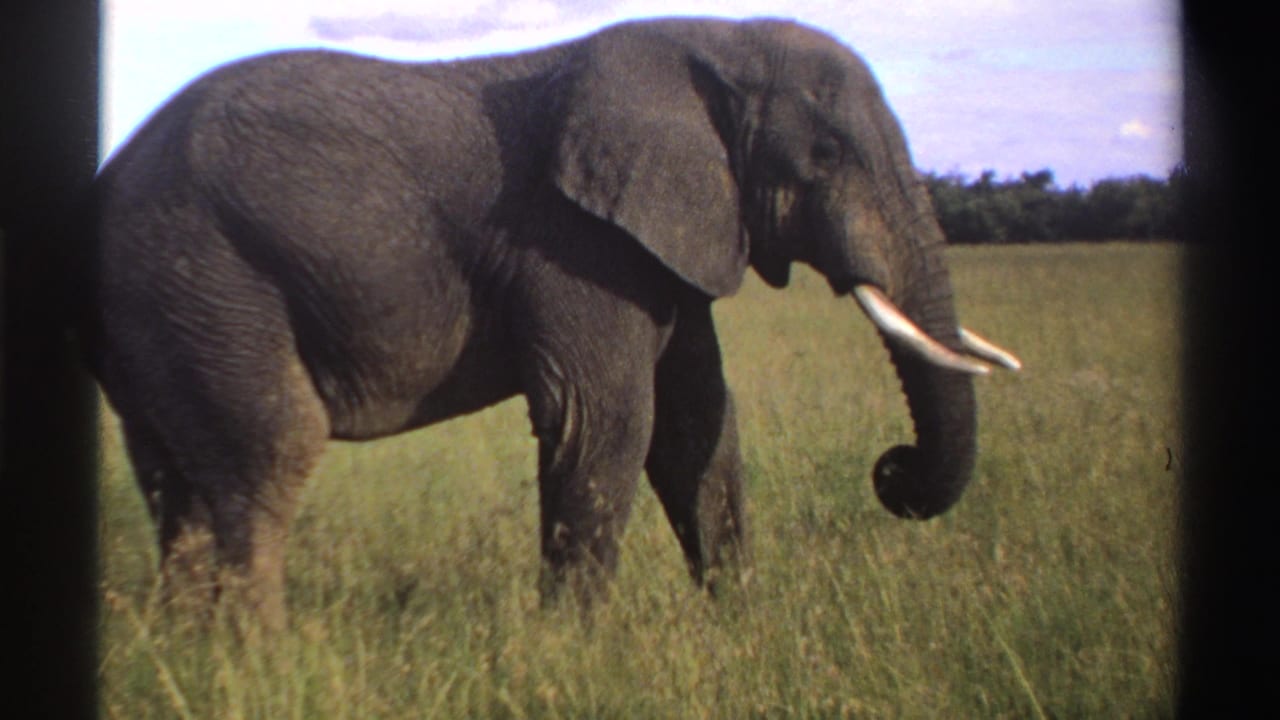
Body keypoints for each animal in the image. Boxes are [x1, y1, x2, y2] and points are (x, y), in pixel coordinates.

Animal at [79, 17, 1019, 628]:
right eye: (825, 155)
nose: (892, 471)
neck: (713, 40)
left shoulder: (656, 243)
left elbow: (698, 428)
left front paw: (743, 629)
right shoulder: (573, 241)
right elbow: (606, 422)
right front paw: (573, 653)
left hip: (160, 309)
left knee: (175, 484)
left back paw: (190, 653)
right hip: (203, 271)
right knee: (269, 452)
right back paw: (264, 662)